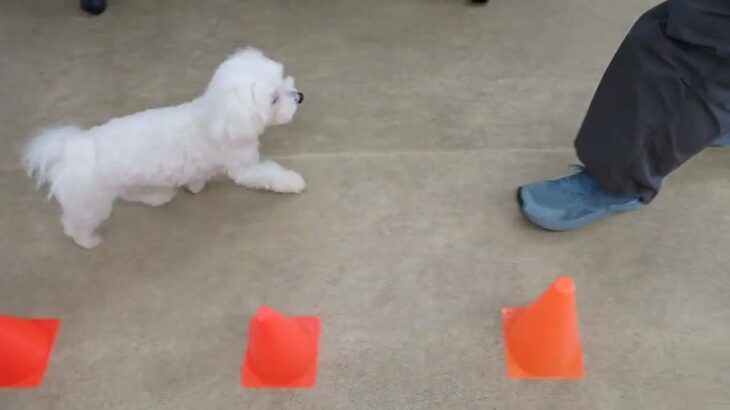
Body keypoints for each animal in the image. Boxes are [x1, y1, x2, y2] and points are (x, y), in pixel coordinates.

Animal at [22, 47, 302, 247]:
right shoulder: (244, 167)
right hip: (91, 203)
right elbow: (269, 175)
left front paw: (195, 185)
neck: (218, 118)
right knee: (74, 224)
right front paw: (292, 182)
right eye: (273, 99)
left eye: (282, 77)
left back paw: (157, 196)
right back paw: (87, 240)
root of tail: (70, 150)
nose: (299, 97)